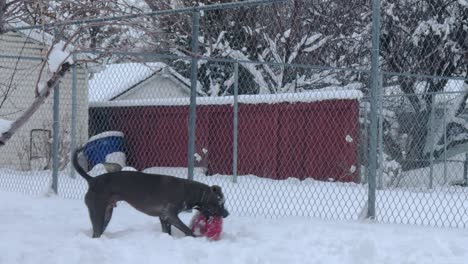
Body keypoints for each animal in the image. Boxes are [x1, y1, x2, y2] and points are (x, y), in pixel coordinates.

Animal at [71, 147, 229, 238]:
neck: (191, 191)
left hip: (106, 214)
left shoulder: (164, 218)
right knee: (96, 232)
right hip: (98, 212)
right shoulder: (170, 215)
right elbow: (188, 230)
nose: (227, 214)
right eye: (220, 202)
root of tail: (92, 180)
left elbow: (168, 232)